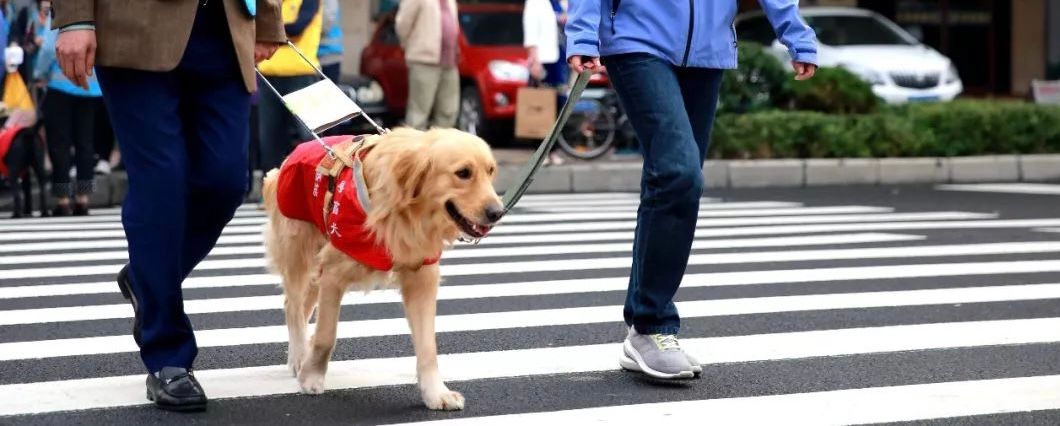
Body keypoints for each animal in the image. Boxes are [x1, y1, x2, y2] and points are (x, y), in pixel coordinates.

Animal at [258, 126, 502, 409]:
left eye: (491, 171)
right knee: (294, 306)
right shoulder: (333, 273)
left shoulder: (422, 279)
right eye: (463, 173)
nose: (498, 213)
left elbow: (428, 346)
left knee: (300, 307)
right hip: (299, 252)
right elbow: (326, 336)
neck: (408, 213)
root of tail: (295, 151)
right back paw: (299, 356)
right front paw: (312, 377)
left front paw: (435, 393)